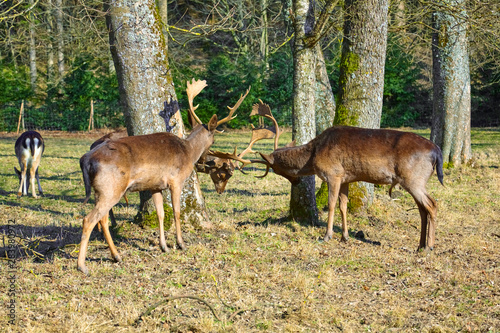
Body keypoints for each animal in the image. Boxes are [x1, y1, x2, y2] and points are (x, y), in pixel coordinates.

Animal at [76, 79, 250, 274]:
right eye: (214, 140)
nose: (206, 159)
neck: (188, 151)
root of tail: (86, 159)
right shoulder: (176, 180)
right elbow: (176, 212)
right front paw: (181, 243)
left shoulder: (155, 186)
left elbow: (160, 213)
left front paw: (164, 246)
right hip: (111, 187)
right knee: (88, 219)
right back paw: (82, 265)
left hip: (103, 190)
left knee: (103, 219)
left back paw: (116, 256)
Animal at [213, 101, 444, 249]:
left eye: (278, 169)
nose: (296, 180)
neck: (315, 154)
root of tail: (437, 151)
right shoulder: (346, 177)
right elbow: (343, 205)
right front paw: (345, 236)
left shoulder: (333, 174)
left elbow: (332, 204)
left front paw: (327, 235)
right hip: (415, 180)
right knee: (423, 209)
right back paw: (420, 245)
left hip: (413, 178)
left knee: (432, 205)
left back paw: (429, 247)